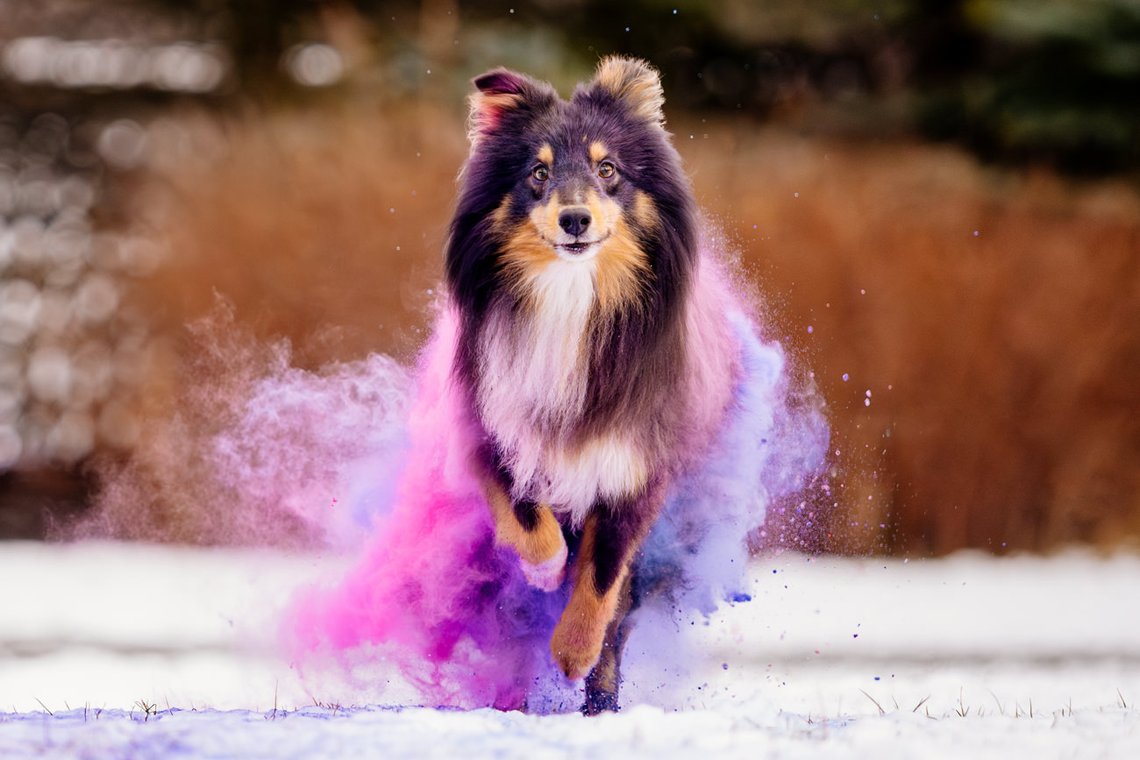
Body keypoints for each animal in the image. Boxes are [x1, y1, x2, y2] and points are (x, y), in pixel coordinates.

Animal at [444, 58, 738, 715]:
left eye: (608, 170)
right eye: (538, 172)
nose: (574, 219)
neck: (570, 297)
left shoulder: (635, 466)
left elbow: (602, 576)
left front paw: (574, 654)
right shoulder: (495, 423)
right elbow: (527, 517)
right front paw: (547, 568)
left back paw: (599, 696)